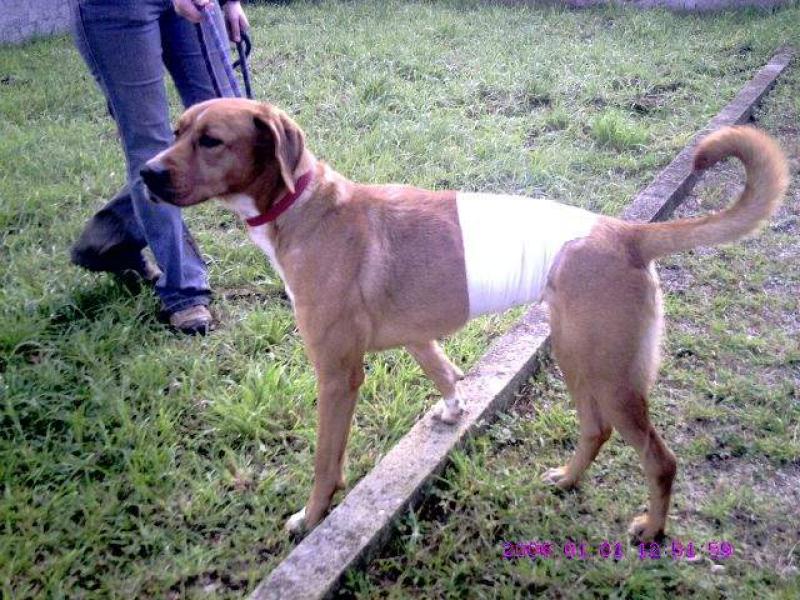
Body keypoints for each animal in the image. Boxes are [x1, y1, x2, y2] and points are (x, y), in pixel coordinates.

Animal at [142, 98, 788, 540]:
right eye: (176, 132)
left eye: (212, 140)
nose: (146, 174)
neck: (304, 204)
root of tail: (627, 233)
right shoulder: (417, 339)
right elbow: (446, 374)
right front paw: (452, 410)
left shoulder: (337, 374)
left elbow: (327, 463)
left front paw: (313, 515)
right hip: (577, 356)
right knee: (594, 430)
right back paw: (567, 480)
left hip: (611, 374)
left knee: (660, 459)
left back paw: (651, 530)